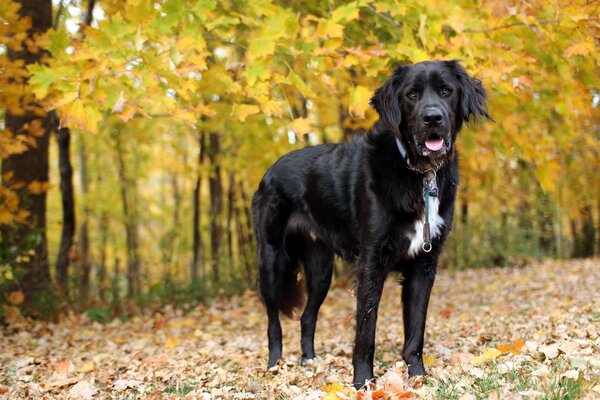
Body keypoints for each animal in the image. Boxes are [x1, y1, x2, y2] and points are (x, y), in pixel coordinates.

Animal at [251, 60, 490, 388]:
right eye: (412, 94)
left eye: (446, 91)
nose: (433, 118)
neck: (418, 172)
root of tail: (269, 171)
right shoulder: (371, 262)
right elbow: (366, 328)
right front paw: (363, 382)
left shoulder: (424, 264)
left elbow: (416, 327)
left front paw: (417, 375)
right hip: (271, 262)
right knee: (273, 321)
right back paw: (275, 365)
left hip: (321, 269)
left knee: (307, 316)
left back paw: (309, 361)